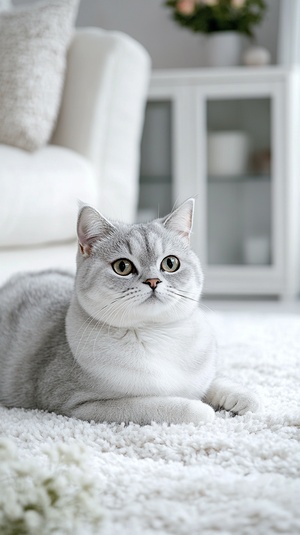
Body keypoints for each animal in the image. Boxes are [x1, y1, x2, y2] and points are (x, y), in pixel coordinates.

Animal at [0, 201, 258, 428]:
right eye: (122, 267)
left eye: (170, 263)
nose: (153, 281)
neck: (157, 334)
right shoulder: (84, 404)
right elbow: (164, 406)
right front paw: (201, 408)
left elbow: (216, 381)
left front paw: (244, 397)